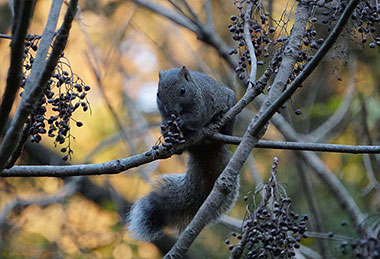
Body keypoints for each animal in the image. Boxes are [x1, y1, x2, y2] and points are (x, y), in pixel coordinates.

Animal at [128, 65, 240, 242]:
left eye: (182, 90)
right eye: (158, 94)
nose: (171, 111)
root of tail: (206, 148)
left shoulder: (202, 104)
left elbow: (195, 118)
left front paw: (182, 121)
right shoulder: (163, 114)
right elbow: (166, 123)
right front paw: (168, 133)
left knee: (226, 128)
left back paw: (219, 117)